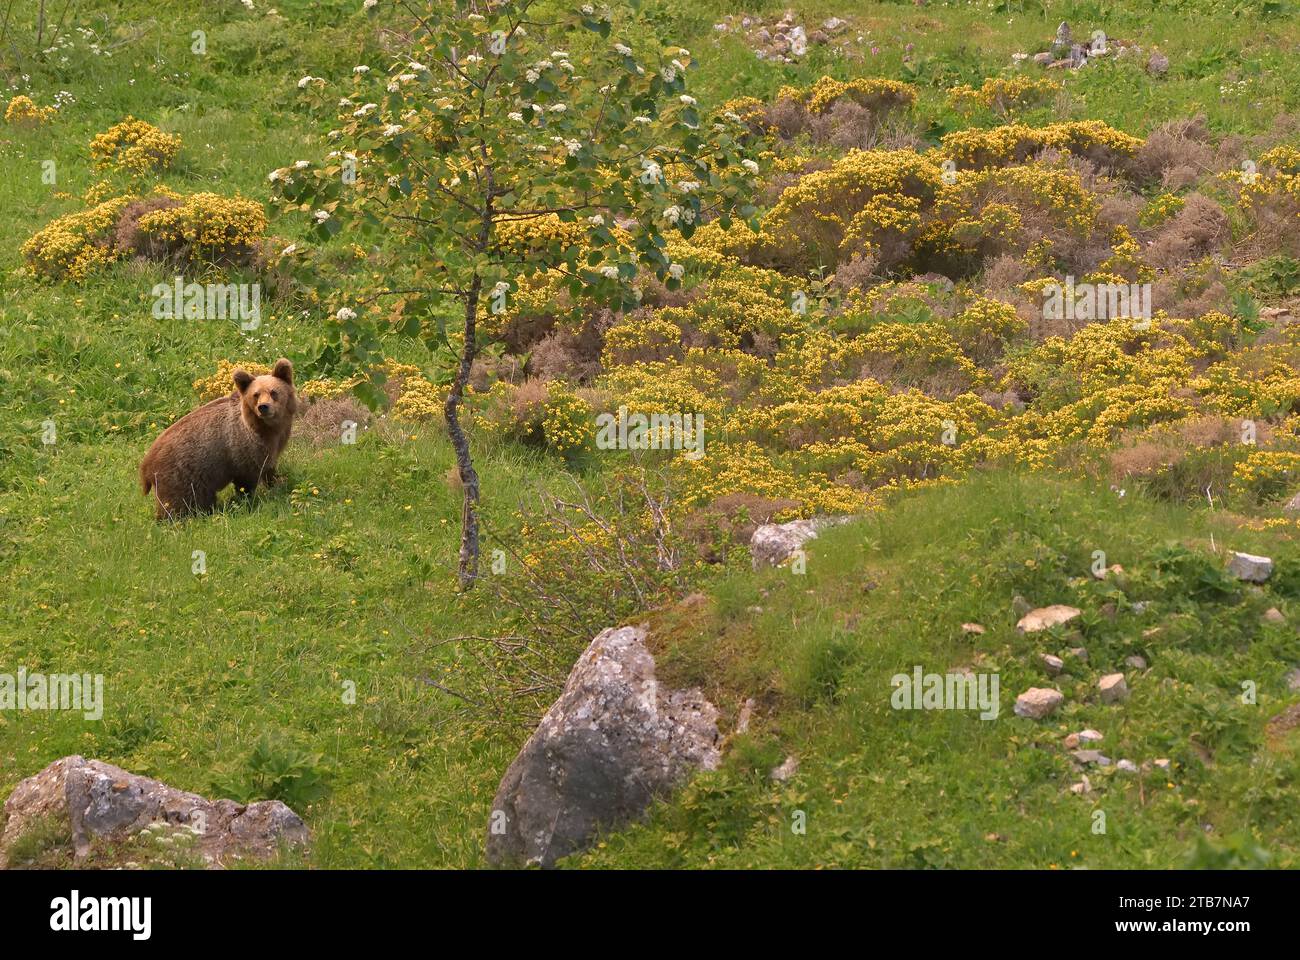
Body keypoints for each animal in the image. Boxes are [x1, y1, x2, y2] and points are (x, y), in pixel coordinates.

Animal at [140, 358, 297, 519]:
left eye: (273, 392)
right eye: (256, 394)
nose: (263, 407)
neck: (266, 429)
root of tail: (146, 464)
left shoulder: (271, 445)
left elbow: (269, 467)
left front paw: (278, 483)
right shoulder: (242, 448)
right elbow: (246, 478)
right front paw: (247, 500)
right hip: (181, 476)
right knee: (178, 504)